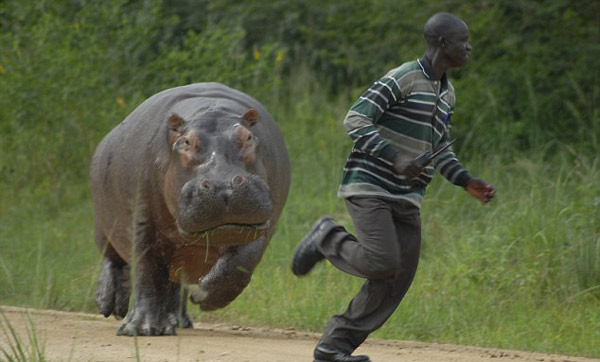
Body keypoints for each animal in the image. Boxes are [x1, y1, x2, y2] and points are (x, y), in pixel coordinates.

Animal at [88, 82, 290, 336]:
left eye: (248, 137)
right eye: (185, 142)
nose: (223, 186)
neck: (210, 109)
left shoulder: (263, 225)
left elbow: (240, 264)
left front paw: (202, 294)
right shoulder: (141, 223)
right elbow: (145, 271)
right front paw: (141, 329)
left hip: (179, 257)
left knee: (172, 284)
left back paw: (175, 321)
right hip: (104, 224)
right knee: (114, 259)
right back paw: (110, 305)